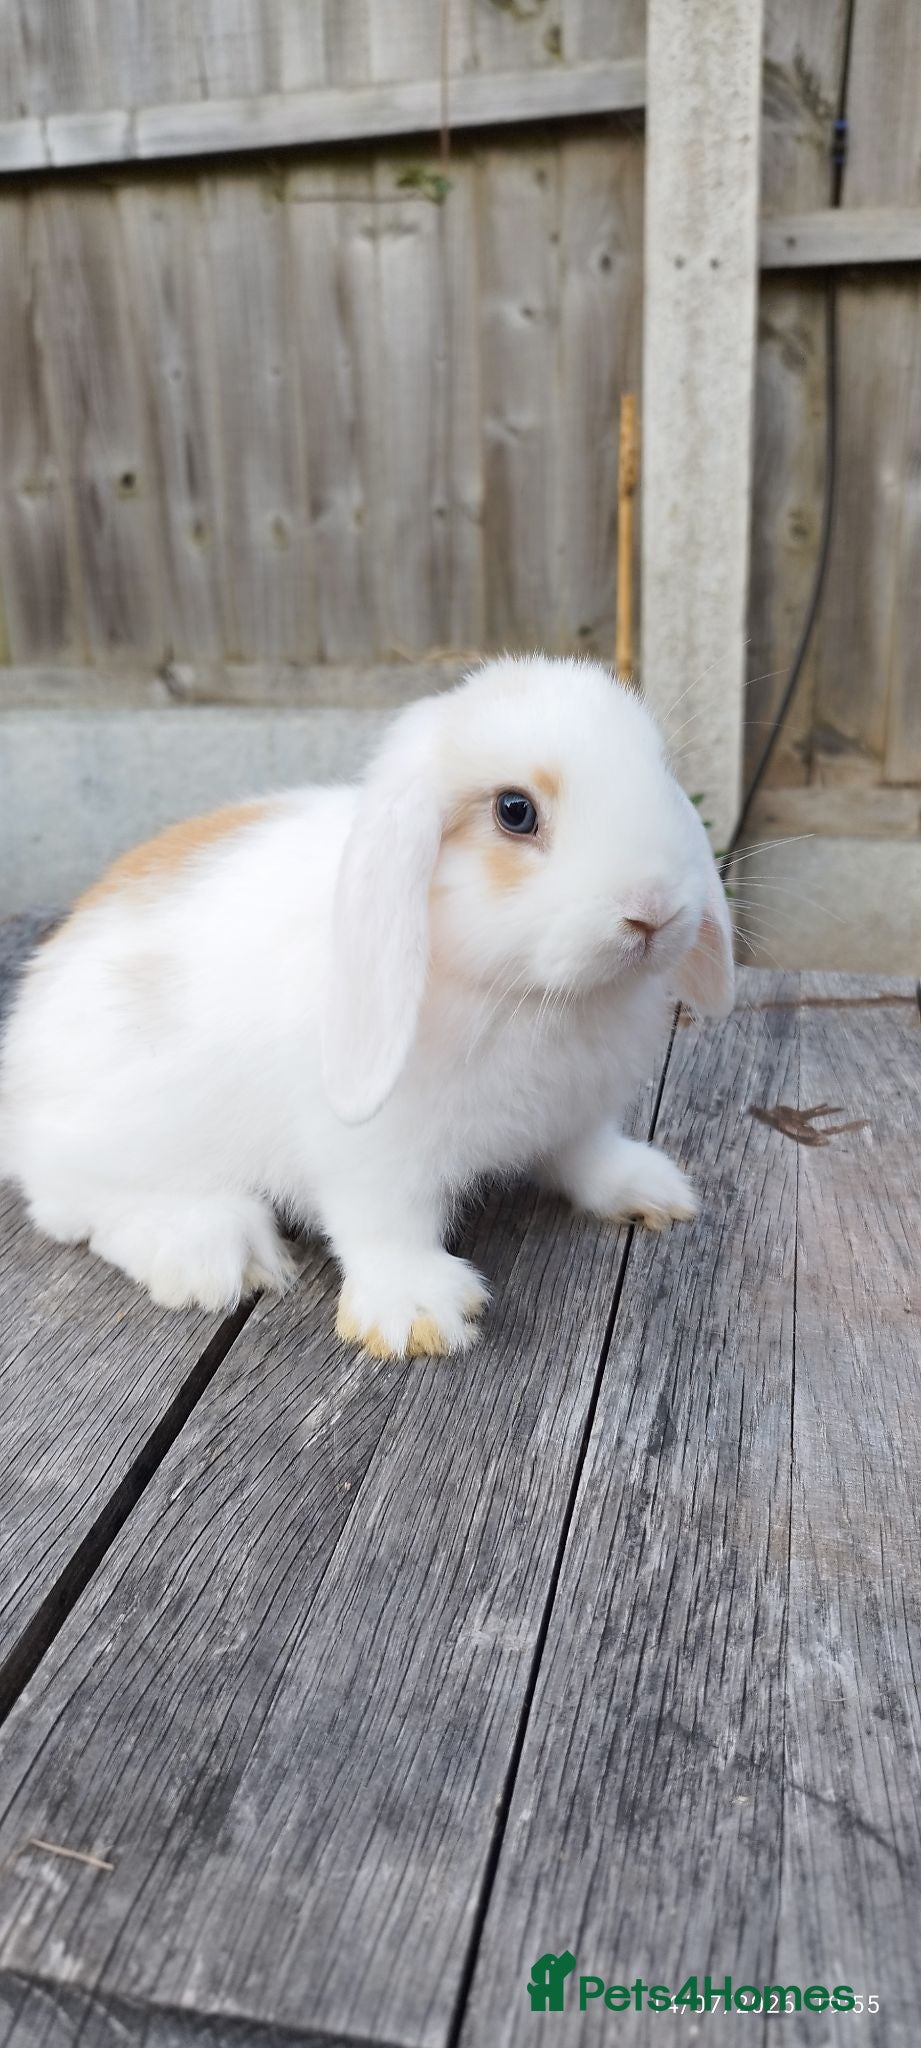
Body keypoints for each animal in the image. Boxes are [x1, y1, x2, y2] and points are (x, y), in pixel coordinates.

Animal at [0, 655, 734, 1358]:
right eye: (514, 811)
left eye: (660, 772)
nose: (653, 909)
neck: (525, 996)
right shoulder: (373, 1158)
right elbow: (385, 1225)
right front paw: (417, 1316)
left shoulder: (578, 1115)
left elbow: (587, 1158)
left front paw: (649, 1190)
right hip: (115, 1135)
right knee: (71, 1203)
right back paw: (212, 1250)